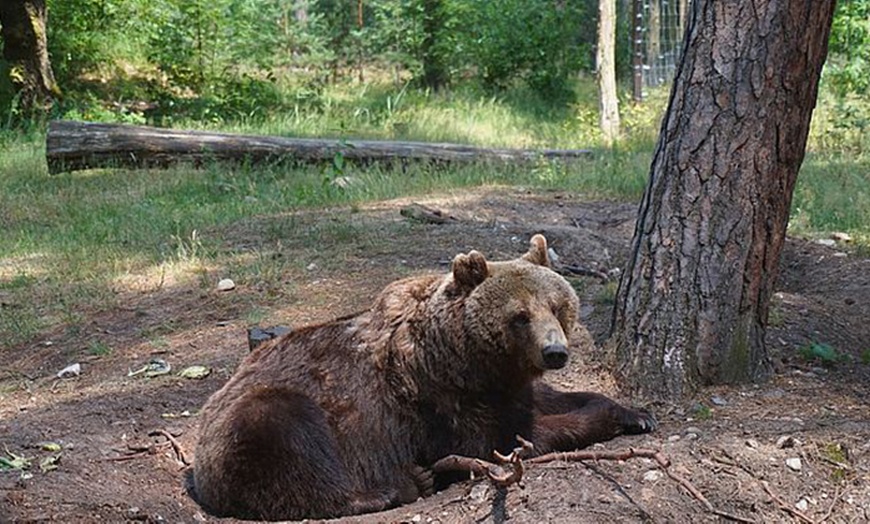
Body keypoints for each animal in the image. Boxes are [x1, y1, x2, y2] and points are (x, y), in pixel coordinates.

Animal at [191, 236, 656, 520]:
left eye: (557, 305)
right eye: (520, 316)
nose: (555, 352)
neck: (468, 358)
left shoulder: (506, 384)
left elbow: (547, 398)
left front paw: (636, 412)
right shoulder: (439, 398)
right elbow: (506, 441)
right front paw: (601, 420)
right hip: (262, 418)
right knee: (289, 442)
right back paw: (398, 486)